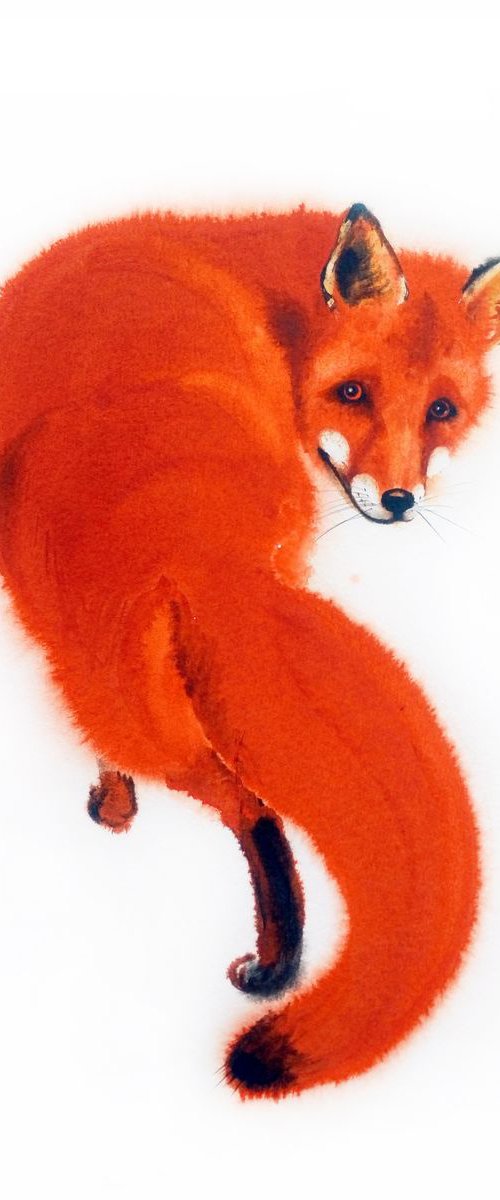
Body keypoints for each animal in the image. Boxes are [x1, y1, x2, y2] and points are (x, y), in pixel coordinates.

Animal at [0, 203, 498, 1098]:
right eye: (352, 392)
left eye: (442, 410)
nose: (399, 500)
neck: (234, 258)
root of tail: (187, 527)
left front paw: (111, 800)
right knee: (242, 801)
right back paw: (276, 957)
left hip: (102, 670)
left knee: (231, 796)